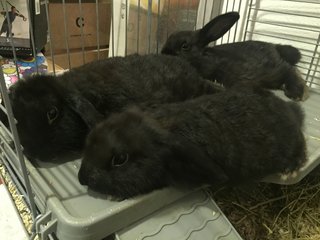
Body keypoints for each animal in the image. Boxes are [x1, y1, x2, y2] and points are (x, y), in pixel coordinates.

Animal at [79, 85, 306, 200]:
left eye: (120, 159)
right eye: (87, 142)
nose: (82, 179)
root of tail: (290, 111)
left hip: (291, 141)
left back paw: (290, 170)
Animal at [161, 11, 308, 101]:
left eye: (185, 46)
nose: (163, 54)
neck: (205, 58)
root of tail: (274, 47)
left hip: (273, 70)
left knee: (291, 70)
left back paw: (295, 92)